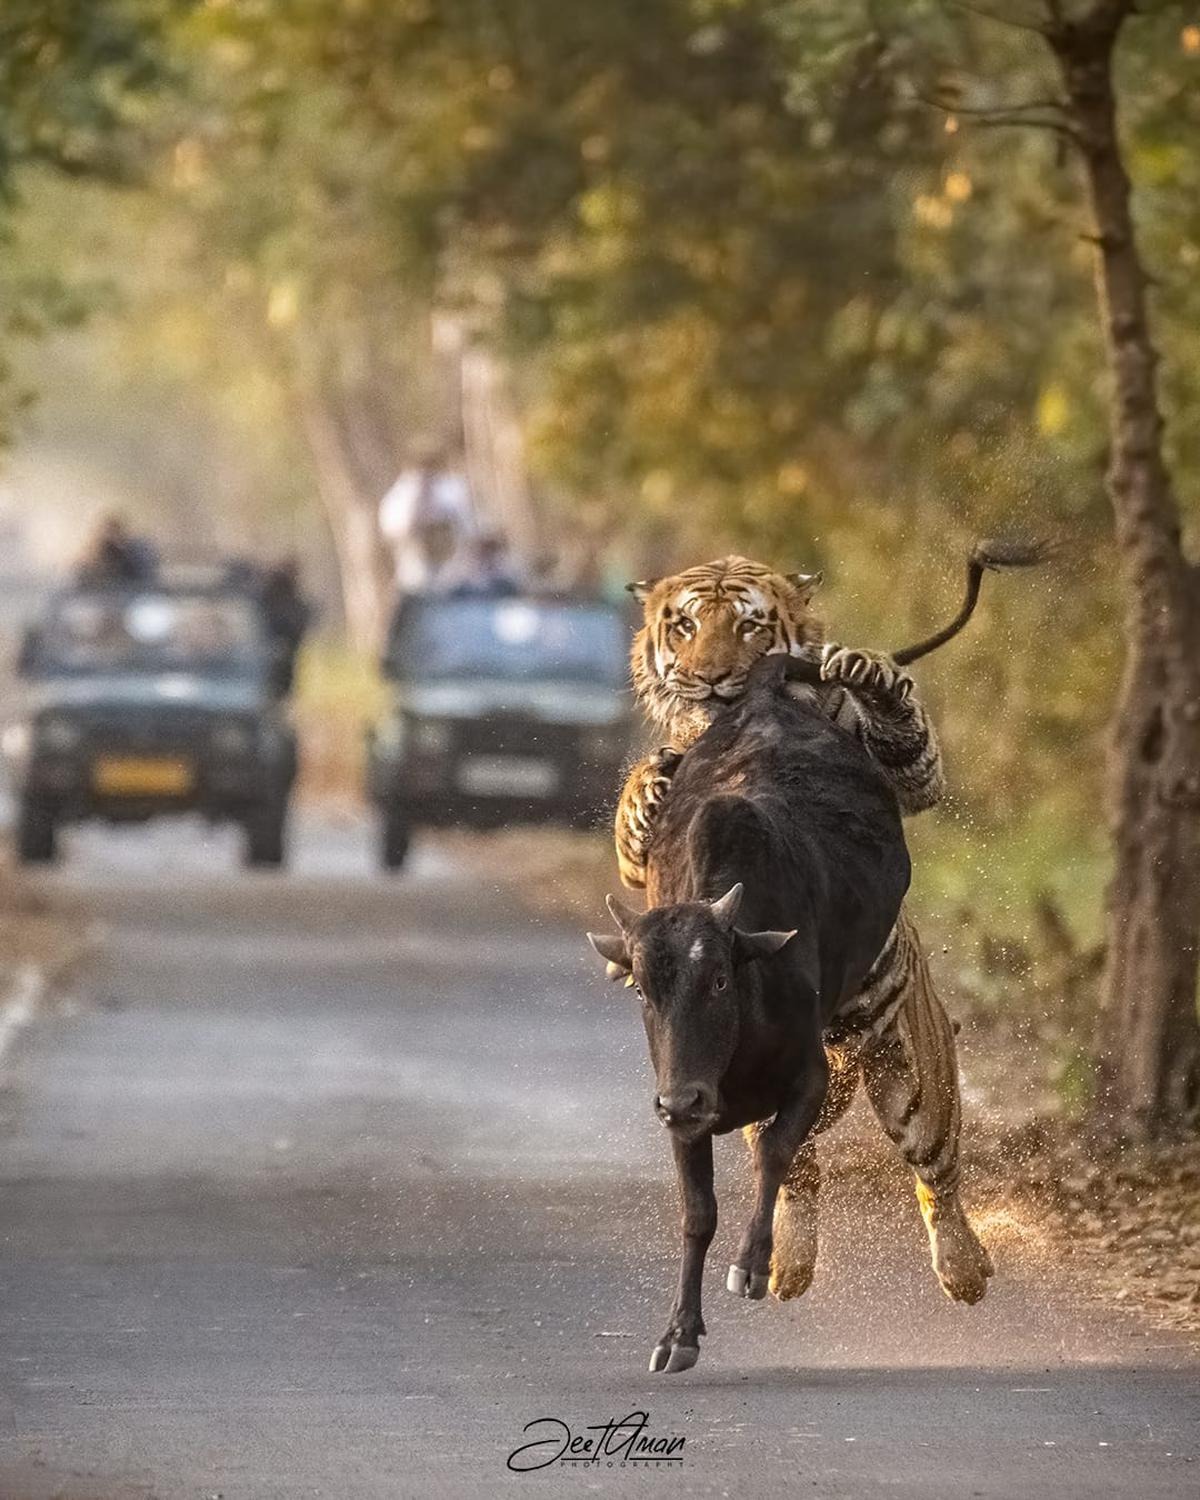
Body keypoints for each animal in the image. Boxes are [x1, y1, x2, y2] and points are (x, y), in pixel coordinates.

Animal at [585, 657, 906, 1374]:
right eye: (643, 991)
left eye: (720, 978)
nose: (685, 1100)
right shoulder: (679, 1110)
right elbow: (696, 1213)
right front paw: (678, 1333)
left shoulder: (810, 1077)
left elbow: (774, 1154)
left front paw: (755, 1267)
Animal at [615, 558, 990, 1308]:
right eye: (685, 626)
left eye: (748, 624)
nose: (710, 679)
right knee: (804, 1169)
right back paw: (792, 1261)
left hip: (911, 1063)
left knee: (936, 1166)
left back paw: (964, 1267)